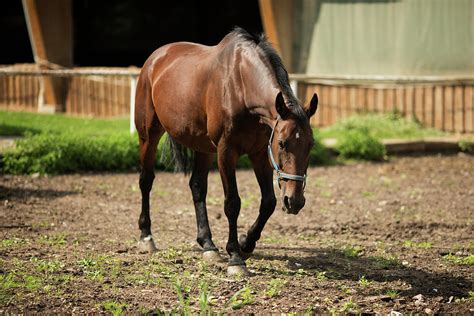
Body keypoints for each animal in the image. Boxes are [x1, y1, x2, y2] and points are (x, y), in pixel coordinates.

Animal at [134, 26, 318, 274]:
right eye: (282, 143)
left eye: (311, 144)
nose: (294, 201)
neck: (240, 86)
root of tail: (155, 59)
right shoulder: (226, 152)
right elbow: (232, 203)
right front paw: (235, 257)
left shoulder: (260, 154)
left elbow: (268, 202)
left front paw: (246, 243)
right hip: (148, 135)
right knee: (146, 180)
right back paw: (146, 237)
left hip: (202, 147)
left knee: (197, 187)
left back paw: (208, 245)